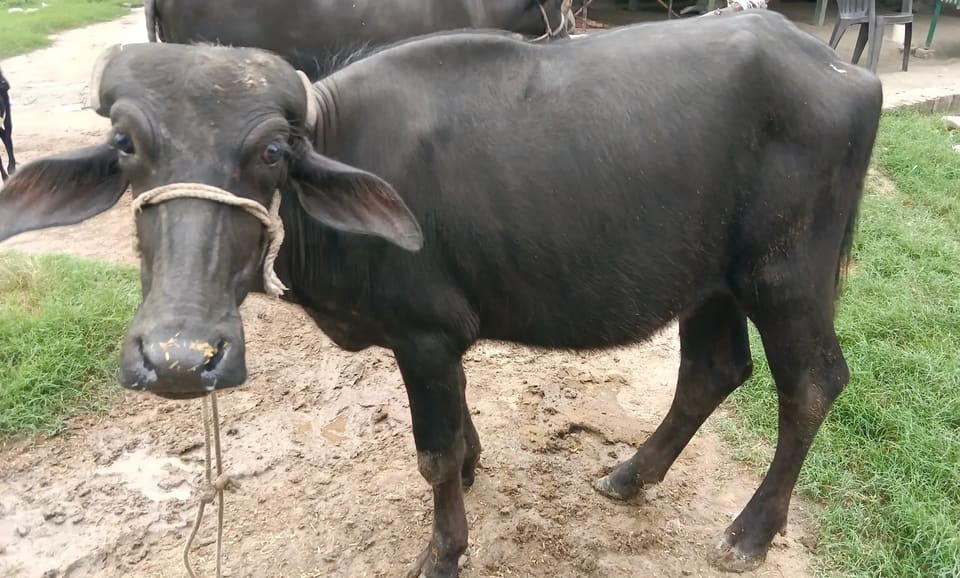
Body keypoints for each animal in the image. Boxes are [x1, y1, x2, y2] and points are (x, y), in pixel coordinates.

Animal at [0, 12, 882, 577]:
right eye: (126, 144)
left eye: (273, 152)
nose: (182, 358)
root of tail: (848, 71)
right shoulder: (437, 347)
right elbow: (457, 435)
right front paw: (476, 468)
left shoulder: (425, 337)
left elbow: (433, 453)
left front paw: (443, 550)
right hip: (710, 280)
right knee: (712, 370)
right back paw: (630, 475)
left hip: (786, 275)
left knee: (812, 384)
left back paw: (750, 532)